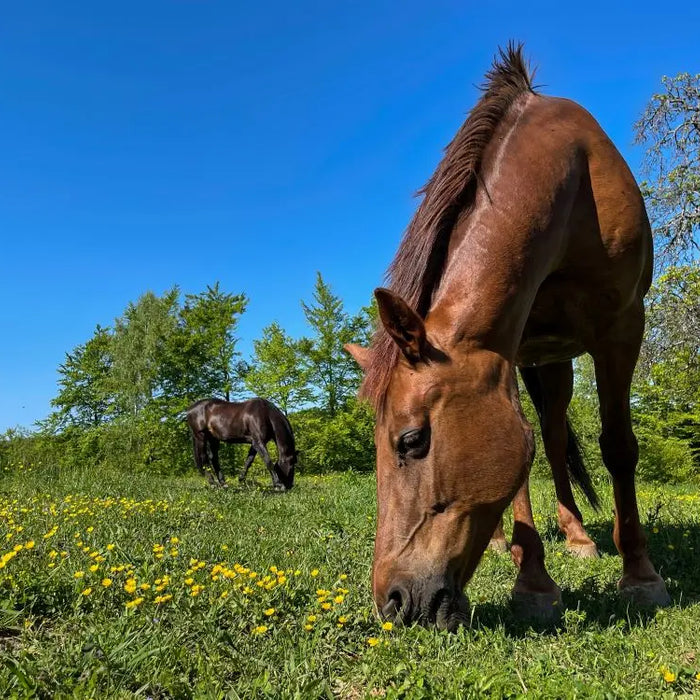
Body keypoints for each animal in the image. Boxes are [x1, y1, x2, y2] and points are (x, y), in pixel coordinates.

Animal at [344, 44, 670, 631]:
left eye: (411, 441)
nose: (393, 603)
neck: (573, 183)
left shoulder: (621, 328)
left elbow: (618, 446)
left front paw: (640, 574)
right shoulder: (507, 347)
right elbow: (521, 458)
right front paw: (533, 582)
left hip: (559, 361)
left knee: (559, 438)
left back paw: (580, 537)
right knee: (547, 440)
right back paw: (509, 541)